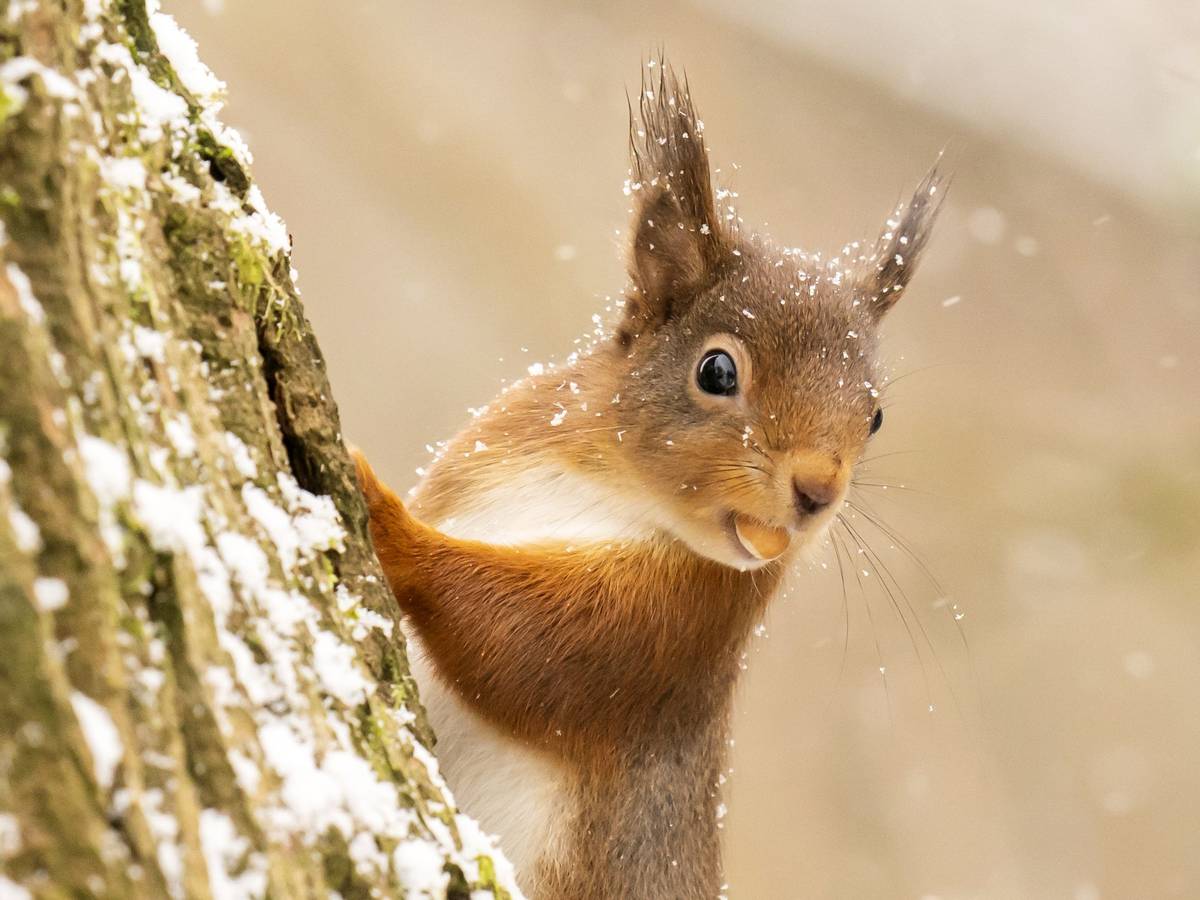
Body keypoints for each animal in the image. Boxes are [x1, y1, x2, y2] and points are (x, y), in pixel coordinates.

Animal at [352, 62, 943, 900]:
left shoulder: (671, 634)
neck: (610, 486)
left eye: (877, 416)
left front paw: (382, 510)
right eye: (717, 370)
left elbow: (520, 642)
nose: (818, 490)